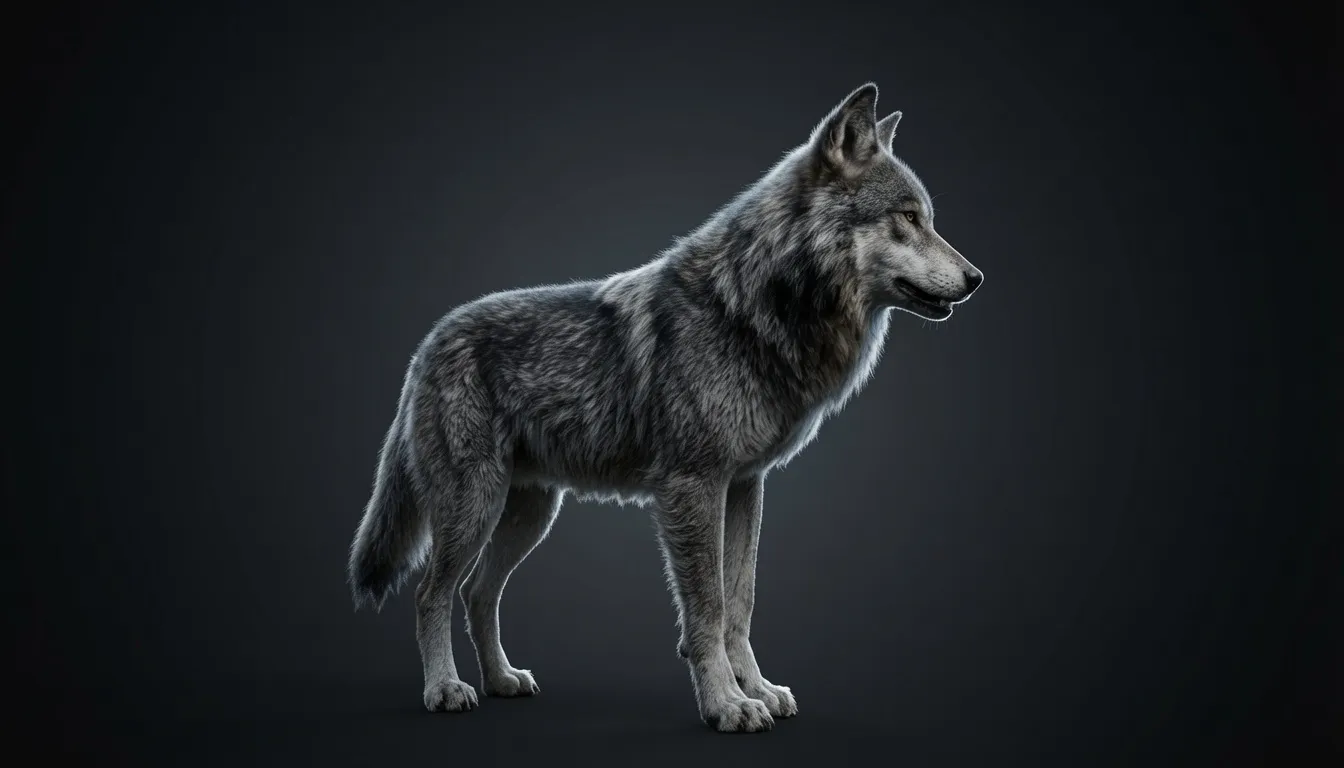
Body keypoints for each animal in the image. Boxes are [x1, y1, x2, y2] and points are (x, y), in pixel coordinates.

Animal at [347, 83, 983, 733]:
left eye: (927, 218)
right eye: (908, 218)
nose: (977, 278)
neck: (753, 309)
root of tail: (427, 345)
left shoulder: (743, 486)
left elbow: (740, 604)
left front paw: (757, 689)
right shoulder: (692, 486)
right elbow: (707, 611)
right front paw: (727, 704)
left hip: (529, 514)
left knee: (479, 594)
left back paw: (502, 680)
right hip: (475, 508)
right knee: (430, 593)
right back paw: (445, 688)